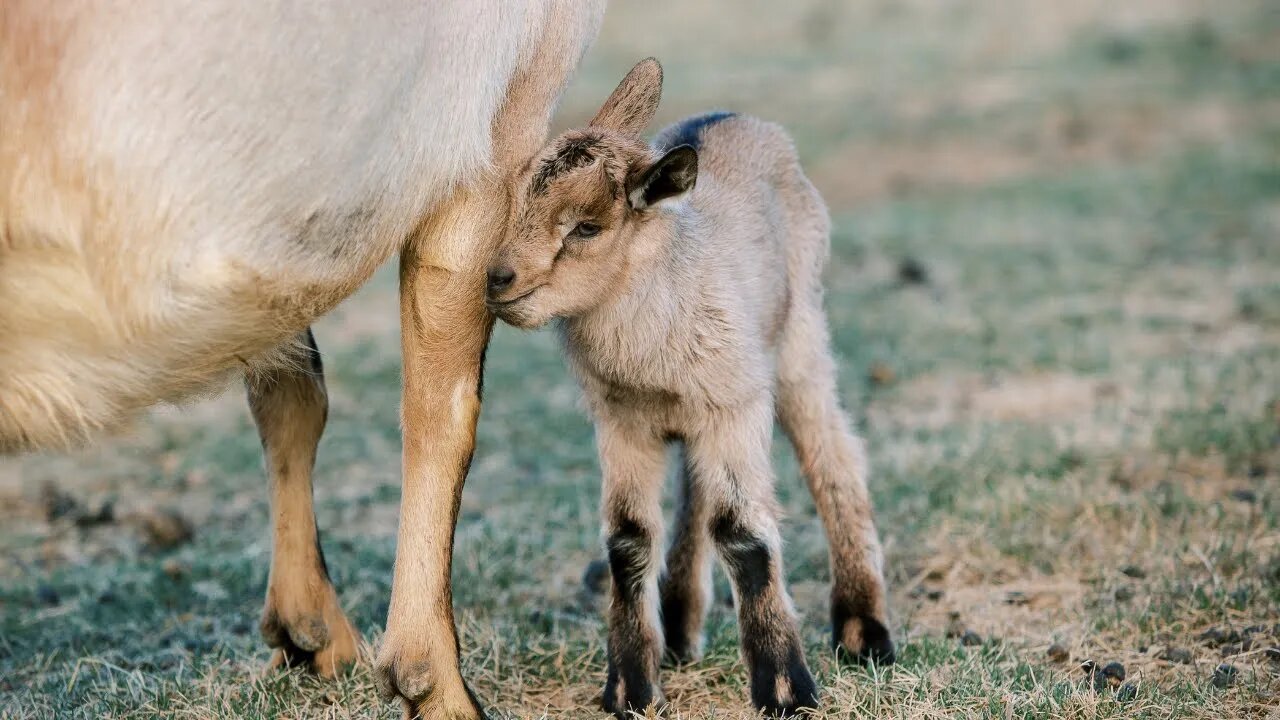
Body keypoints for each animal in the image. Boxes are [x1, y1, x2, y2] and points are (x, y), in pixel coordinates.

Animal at [483, 60, 896, 712]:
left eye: (587, 227)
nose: (497, 280)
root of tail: (738, 117)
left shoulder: (736, 402)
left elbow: (745, 536)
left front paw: (786, 690)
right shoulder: (623, 420)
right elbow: (628, 541)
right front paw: (629, 688)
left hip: (797, 336)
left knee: (832, 453)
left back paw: (864, 633)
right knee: (697, 489)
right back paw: (678, 632)